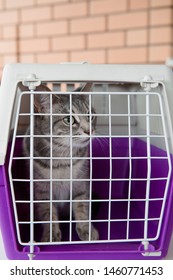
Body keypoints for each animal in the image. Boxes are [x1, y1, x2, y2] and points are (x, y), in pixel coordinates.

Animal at [23, 83, 98, 243]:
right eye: (69, 120)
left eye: (90, 115)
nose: (90, 130)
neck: (62, 158)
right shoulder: (42, 190)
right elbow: (47, 212)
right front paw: (51, 235)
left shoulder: (81, 182)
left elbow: (82, 206)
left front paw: (86, 229)